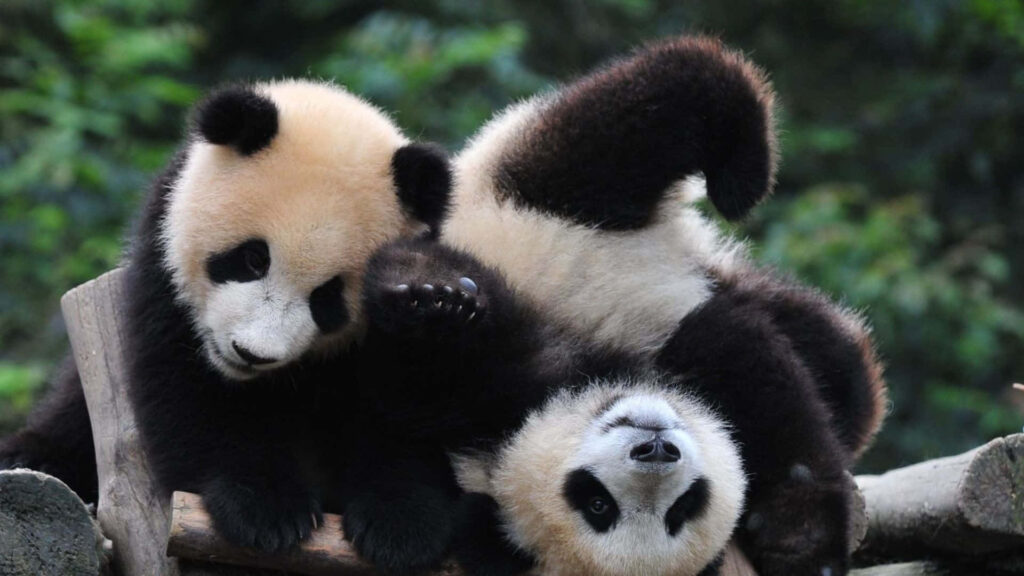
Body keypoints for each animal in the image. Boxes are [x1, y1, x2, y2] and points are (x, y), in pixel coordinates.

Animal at [0, 79, 462, 573]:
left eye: (328, 298)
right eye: (253, 259)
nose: (252, 354)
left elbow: (399, 409)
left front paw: (401, 525)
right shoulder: (163, 273)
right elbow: (187, 393)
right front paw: (266, 510)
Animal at [437, 36, 888, 575]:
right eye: (600, 505)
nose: (654, 448)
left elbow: (748, 369)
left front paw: (802, 528)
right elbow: (731, 351)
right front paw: (797, 537)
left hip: (543, 197)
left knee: (652, 107)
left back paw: (740, 172)